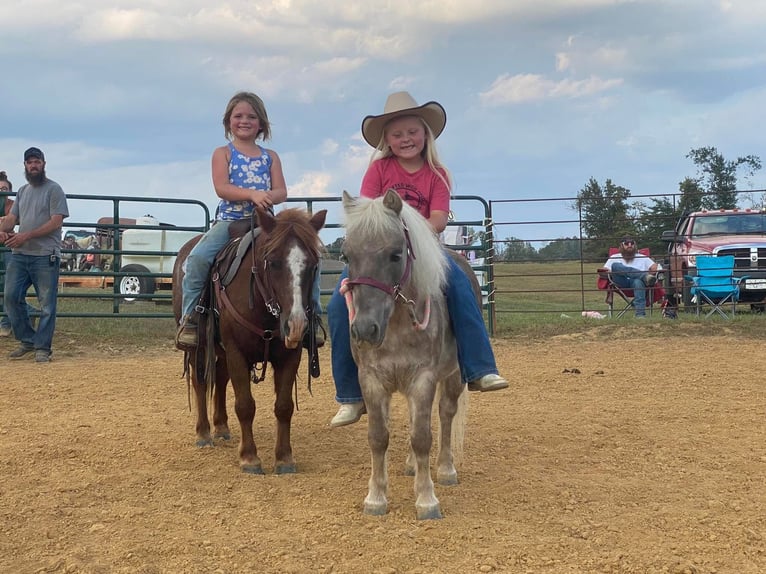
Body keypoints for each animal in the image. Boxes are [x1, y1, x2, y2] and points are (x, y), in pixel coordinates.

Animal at [174, 209, 328, 474]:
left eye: (313, 265)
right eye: (273, 262)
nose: (296, 324)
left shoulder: (290, 354)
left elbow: (284, 406)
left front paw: (284, 459)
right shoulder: (236, 351)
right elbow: (245, 405)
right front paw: (249, 458)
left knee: (221, 379)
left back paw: (221, 427)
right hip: (200, 348)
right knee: (200, 382)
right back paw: (204, 433)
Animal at [342, 190, 474, 520]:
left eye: (395, 254)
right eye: (347, 256)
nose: (365, 329)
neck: (397, 325)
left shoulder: (423, 379)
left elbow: (422, 437)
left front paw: (427, 500)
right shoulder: (372, 380)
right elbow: (379, 437)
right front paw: (376, 498)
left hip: (453, 377)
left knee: (445, 415)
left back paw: (446, 469)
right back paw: (413, 466)